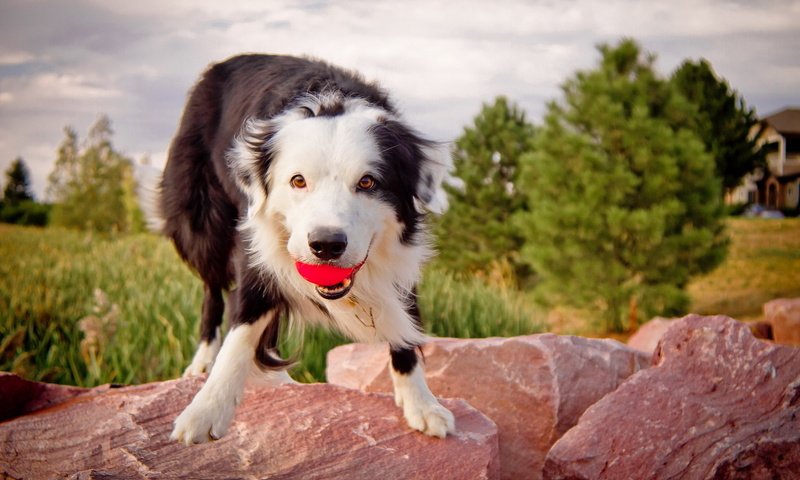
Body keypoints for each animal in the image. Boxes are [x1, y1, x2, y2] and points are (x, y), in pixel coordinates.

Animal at [156, 54, 456, 444]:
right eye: (298, 181)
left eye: (368, 182)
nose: (326, 245)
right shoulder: (255, 249)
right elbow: (241, 330)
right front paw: (206, 410)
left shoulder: (399, 260)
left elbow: (406, 324)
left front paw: (422, 402)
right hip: (201, 222)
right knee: (213, 289)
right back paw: (204, 359)